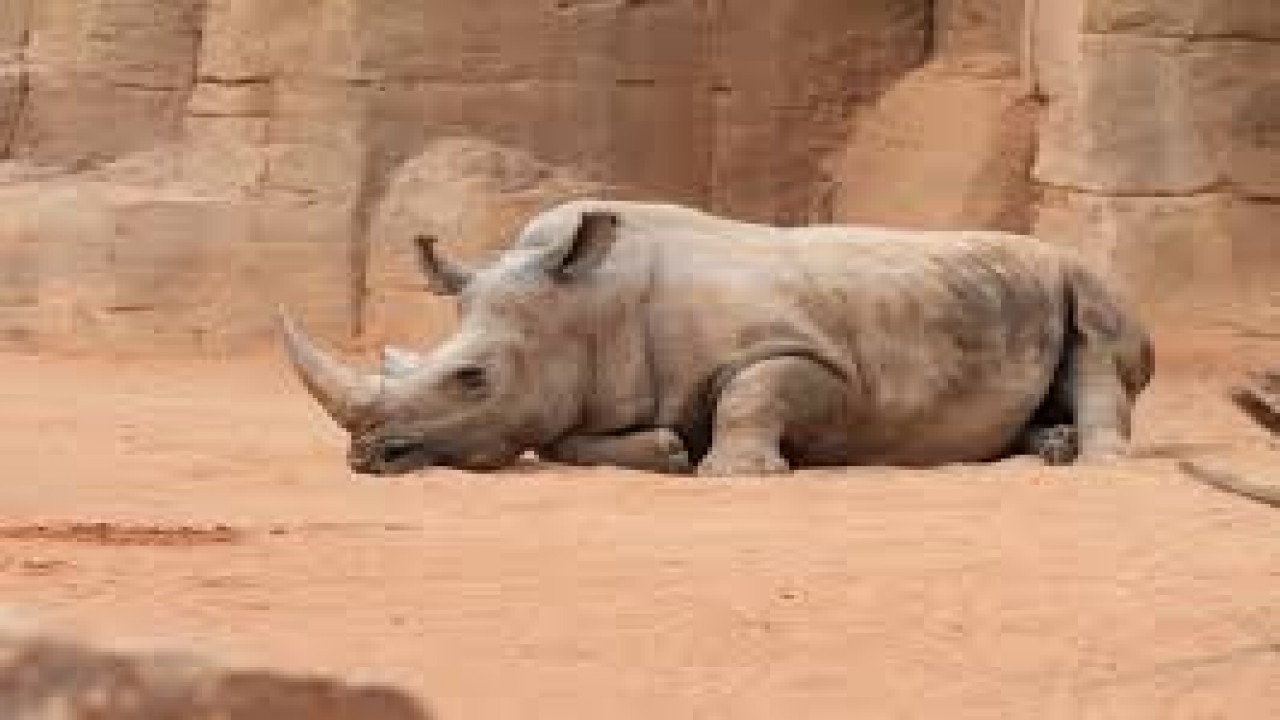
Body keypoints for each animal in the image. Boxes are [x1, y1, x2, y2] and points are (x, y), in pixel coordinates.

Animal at [280, 200, 1154, 477]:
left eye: (472, 378)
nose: (367, 457)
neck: (590, 304)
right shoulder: (581, 392)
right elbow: (563, 440)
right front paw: (669, 450)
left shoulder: (819, 361)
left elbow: (756, 389)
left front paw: (737, 473)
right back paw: (1050, 448)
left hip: (1077, 275)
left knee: (1100, 343)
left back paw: (1098, 464)